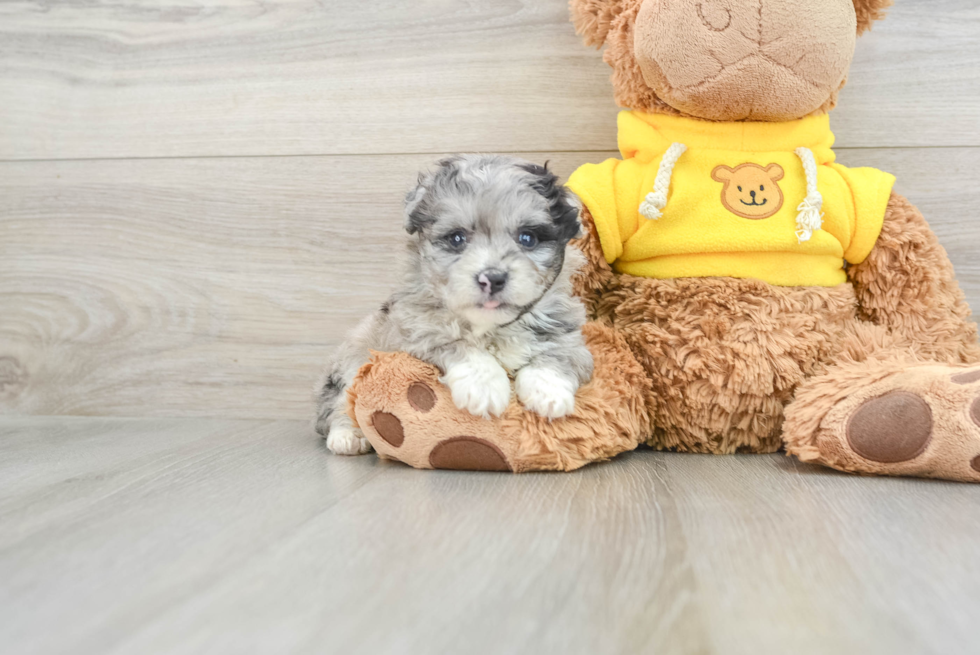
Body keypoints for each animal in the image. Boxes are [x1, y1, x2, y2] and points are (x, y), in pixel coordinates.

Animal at [316, 156, 588, 458]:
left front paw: (548, 393)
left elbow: (557, 353)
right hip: (353, 357)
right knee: (340, 403)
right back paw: (347, 436)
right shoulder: (411, 331)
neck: (491, 327)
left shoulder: (570, 334)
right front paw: (484, 387)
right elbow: (455, 341)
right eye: (457, 238)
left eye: (528, 238)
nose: (492, 278)